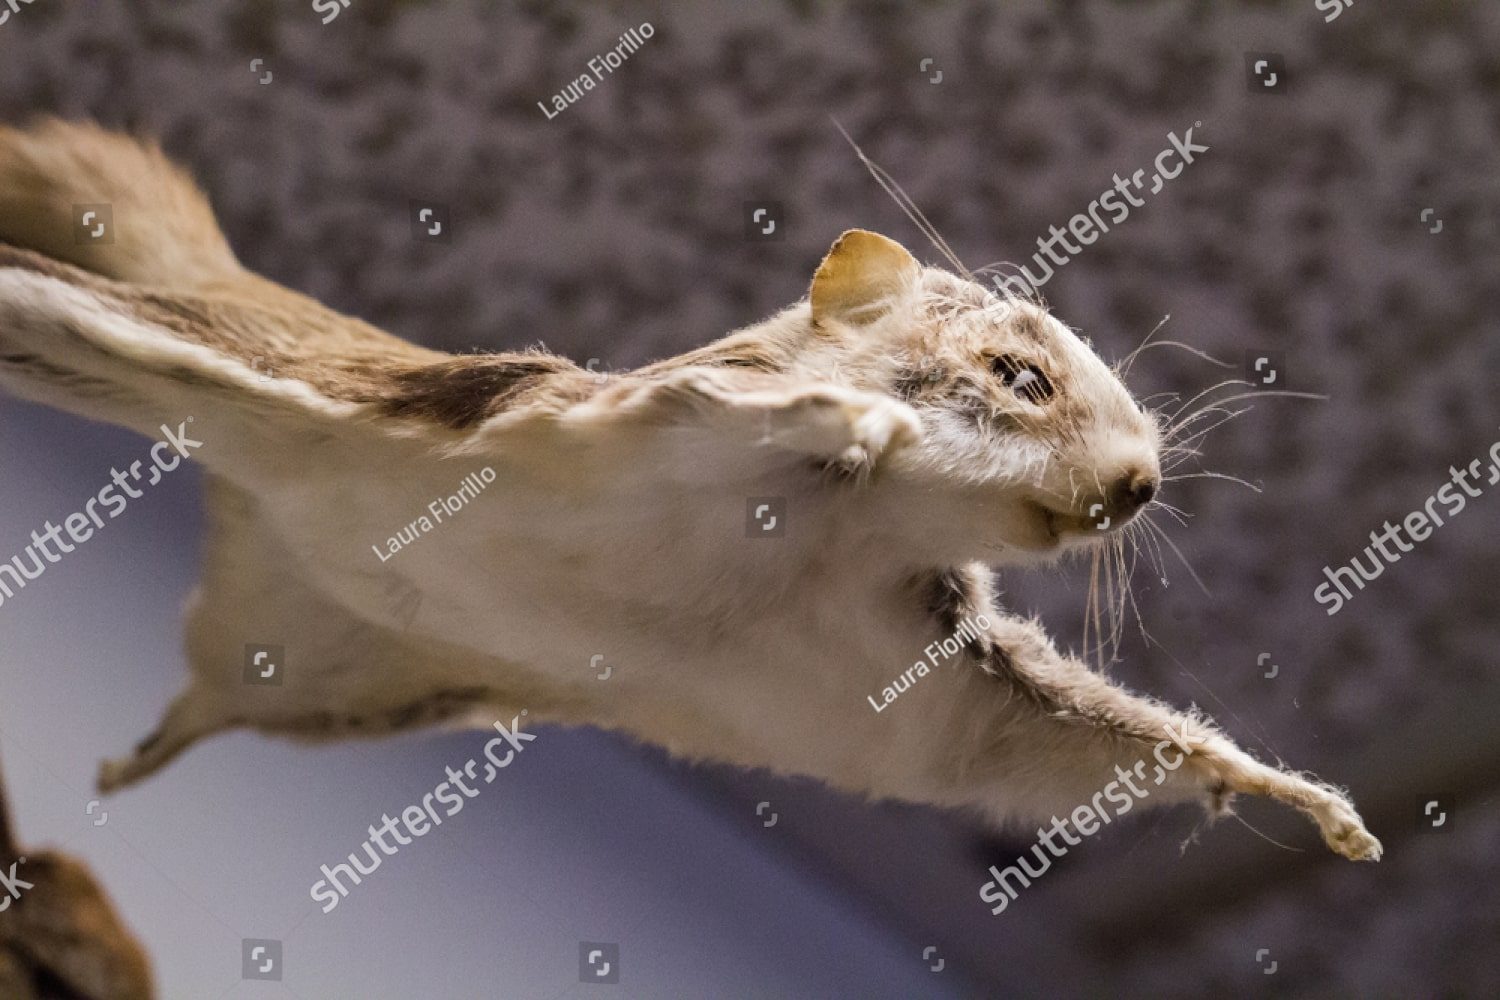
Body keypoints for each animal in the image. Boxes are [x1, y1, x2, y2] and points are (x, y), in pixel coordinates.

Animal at [0, 119, 1379, 862]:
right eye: (1019, 374)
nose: (1141, 485)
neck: (829, 542)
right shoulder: (607, 425)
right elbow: (726, 417)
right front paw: (856, 420)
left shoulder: (932, 671)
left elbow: (1058, 740)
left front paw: (1299, 799)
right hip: (211, 365)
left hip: (323, 676)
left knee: (205, 708)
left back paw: (138, 758)